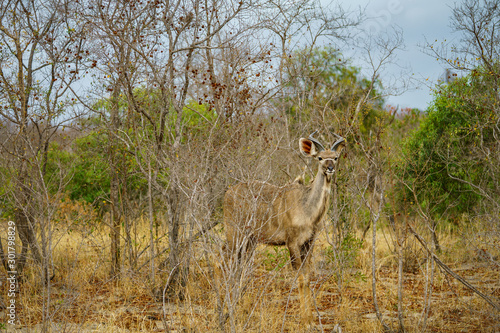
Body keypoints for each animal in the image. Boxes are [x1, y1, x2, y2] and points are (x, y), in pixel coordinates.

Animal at [224, 131, 346, 322]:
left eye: (335, 157)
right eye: (319, 157)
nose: (330, 168)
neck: (307, 207)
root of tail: (228, 193)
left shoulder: (309, 243)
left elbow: (307, 277)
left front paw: (309, 317)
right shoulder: (292, 242)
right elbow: (300, 278)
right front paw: (305, 320)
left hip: (249, 240)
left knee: (239, 267)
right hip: (234, 233)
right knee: (222, 260)